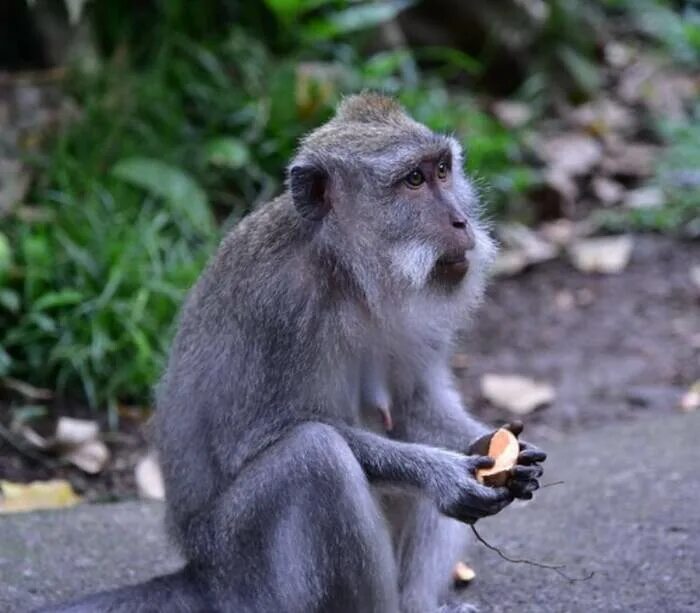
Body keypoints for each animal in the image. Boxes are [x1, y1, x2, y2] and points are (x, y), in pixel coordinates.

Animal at [39, 93, 548, 612]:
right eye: (413, 180)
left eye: (443, 170)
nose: (460, 221)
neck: (348, 275)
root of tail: (199, 575)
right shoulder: (280, 303)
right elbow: (258, 438)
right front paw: (440, 474)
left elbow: (414, 405)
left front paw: (495, 446)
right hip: (245, 571)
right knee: (316, 455)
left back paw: (417, 604)